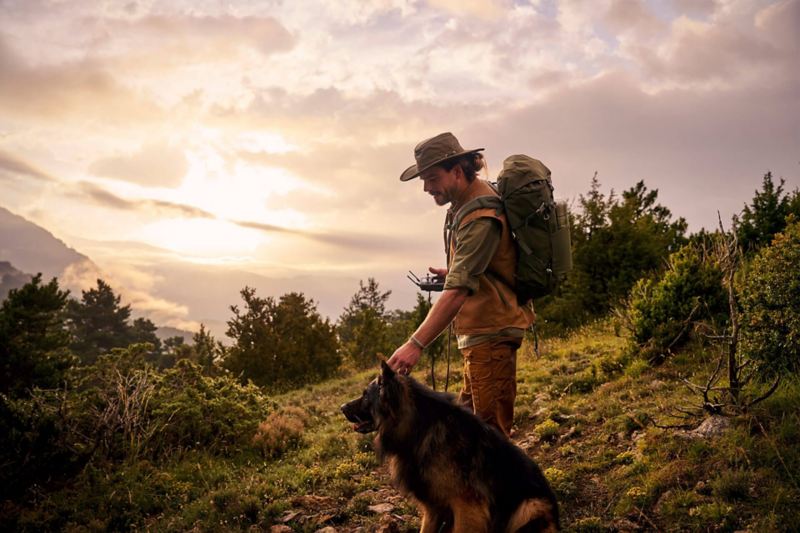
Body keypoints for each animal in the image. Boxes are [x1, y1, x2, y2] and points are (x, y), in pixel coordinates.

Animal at [340, 360, 560, 528]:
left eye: (366, 396)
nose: (342, 407)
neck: (421, 428)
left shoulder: (466, 506)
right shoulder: (432, 507)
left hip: (530, 506)